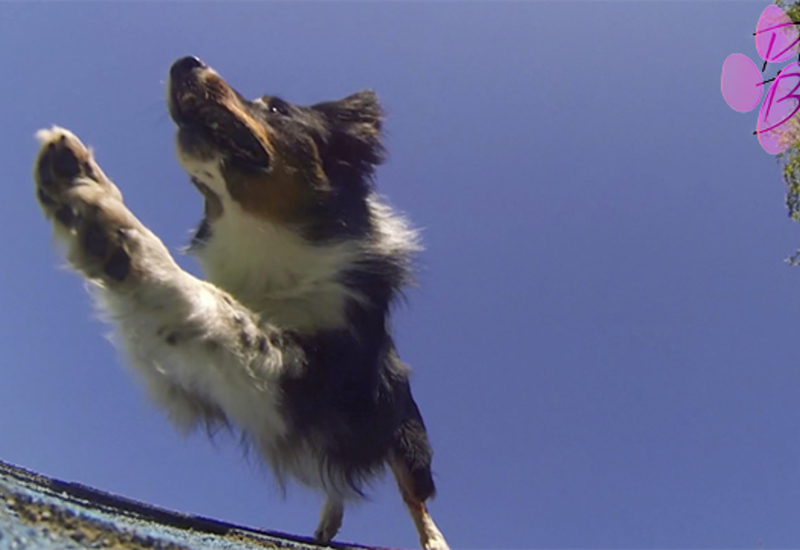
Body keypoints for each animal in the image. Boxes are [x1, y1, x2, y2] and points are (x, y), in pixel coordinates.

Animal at [32, 56, 450, 550]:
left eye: (277, 108)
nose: (184, 62)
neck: (266, 236)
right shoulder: (185, 379)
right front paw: (80, 185)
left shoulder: (321, 378)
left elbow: (226, 312)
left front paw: (115, 231)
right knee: (337, 481)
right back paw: (327, 525)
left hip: (404, 434)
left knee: (413, 493)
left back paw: (432, 539)